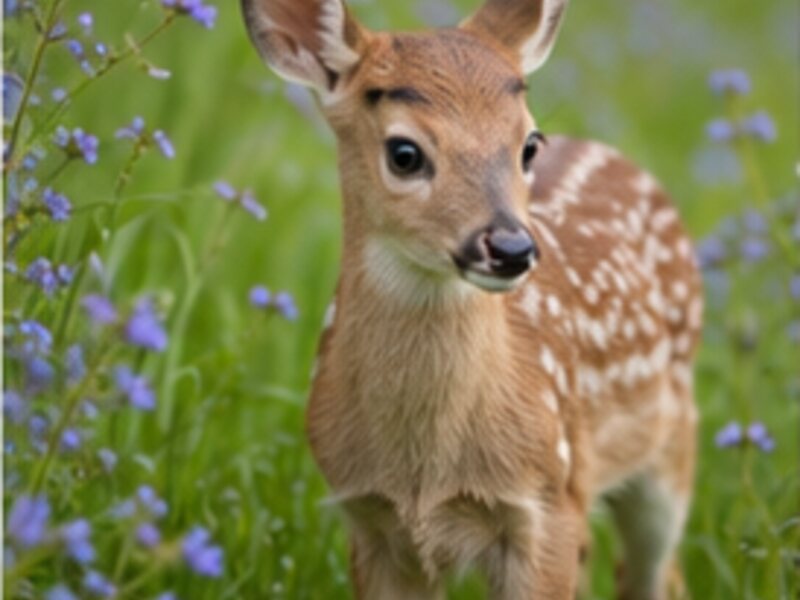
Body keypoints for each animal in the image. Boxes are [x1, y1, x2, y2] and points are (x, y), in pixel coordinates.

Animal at [241, 0, 703, 598]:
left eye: (529, 143)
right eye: (404, 153)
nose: (510, 247)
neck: (427, 474)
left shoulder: (546, 501)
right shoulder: (369, 518)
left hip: (668, 448)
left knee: (655, 570)